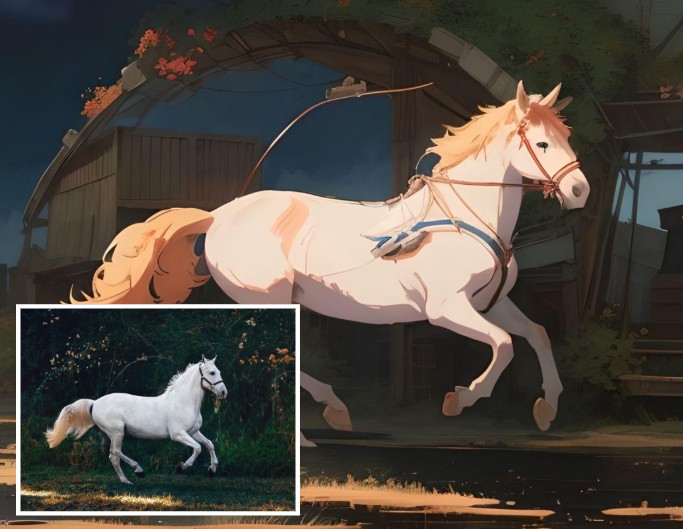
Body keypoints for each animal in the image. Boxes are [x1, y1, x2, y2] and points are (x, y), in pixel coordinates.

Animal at [45, 356, 227, 483]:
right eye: (212, 372)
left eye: (219, 371)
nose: (223, 392)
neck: (183, 402)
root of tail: (94, 403)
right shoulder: (178, 434)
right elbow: (197, 448)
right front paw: (182, 466)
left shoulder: (193, 432)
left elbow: (209, 444)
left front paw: (212, 470)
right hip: (117, 433)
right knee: (115, 452)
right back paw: (138, 471)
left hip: (116, 434)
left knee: (113, 456)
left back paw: (126, 480)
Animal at [70, 81, 589, 446]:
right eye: (542, 144)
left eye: (566, 135)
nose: (580, 191)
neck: (468, 218)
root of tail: (218, 214)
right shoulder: (447, 310)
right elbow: (503, 346)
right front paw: (458, 399)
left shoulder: (490, 304)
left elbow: (537, 335)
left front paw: (547, 409)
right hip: (273, 296)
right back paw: (325, 422)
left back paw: (330, 417)